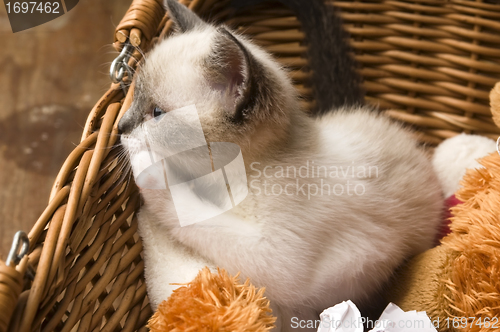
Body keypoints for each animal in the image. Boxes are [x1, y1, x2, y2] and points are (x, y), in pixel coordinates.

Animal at [119, 1, 444, 330]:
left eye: (156, 113)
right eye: (135, 99)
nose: (120, 127)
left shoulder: (275, 258)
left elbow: (192, 214)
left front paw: (146, 166)